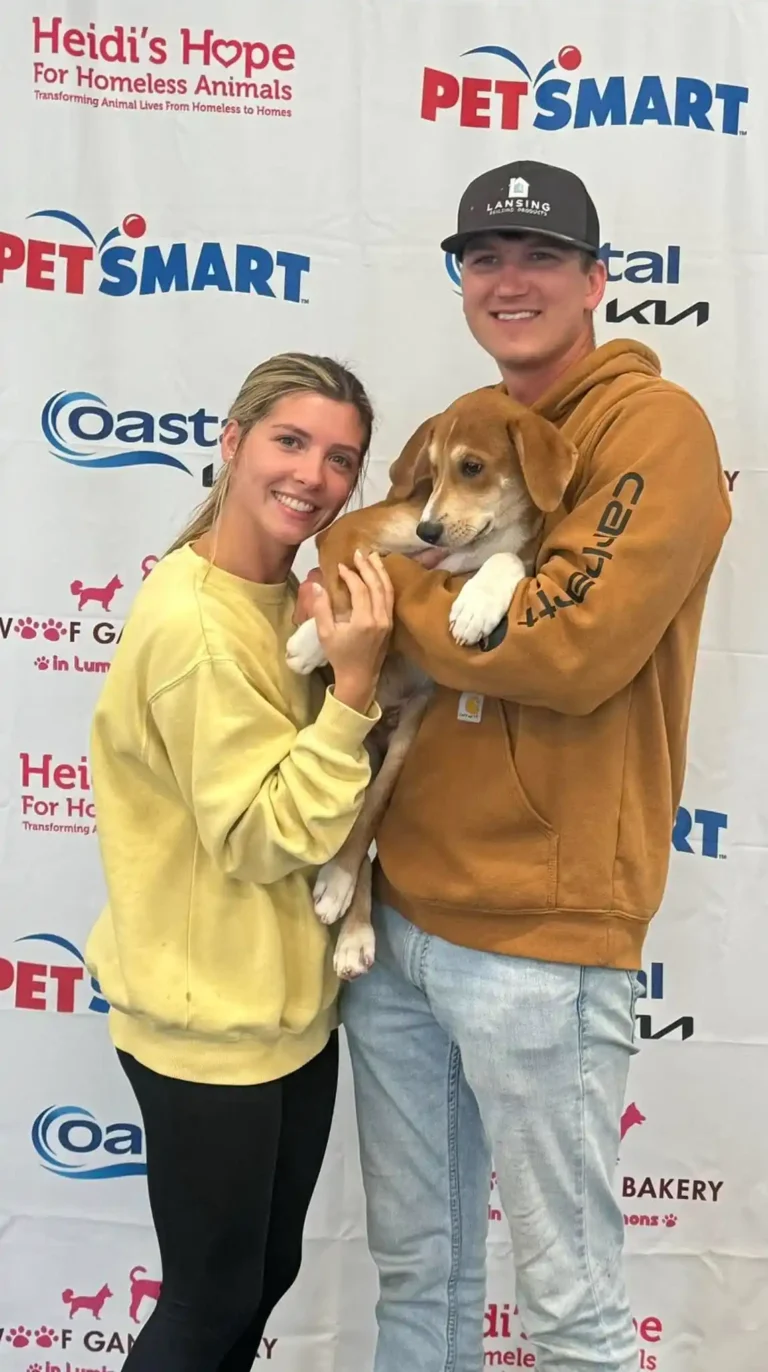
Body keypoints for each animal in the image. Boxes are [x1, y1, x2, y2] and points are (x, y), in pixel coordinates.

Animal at [285, 387, 578, 979]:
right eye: (434, 470)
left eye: (473, 468)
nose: (428, 531)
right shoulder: (351, 533)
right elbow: (357, 581)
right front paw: (315, 639)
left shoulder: (523, 558)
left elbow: (504, 561)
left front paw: (475, 605)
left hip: (408, 733)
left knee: (369, 815)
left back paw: (346, 906)